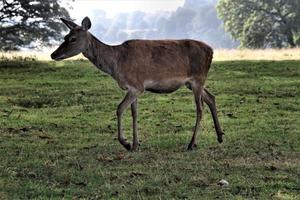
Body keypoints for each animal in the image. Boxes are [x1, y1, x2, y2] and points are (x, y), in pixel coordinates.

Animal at [51, 17, 224, 151]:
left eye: (73, 39)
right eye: (65, 36)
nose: (53, 54)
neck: (116, 64)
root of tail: (212, 51)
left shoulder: (137, 86)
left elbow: (119, 109)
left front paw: (126, 143)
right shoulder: (132, 88)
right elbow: (134, 113)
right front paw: (135, 144)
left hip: (198, 78)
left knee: (200, 108)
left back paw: (191, 143)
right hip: (192, 83)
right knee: (211, 97)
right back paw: (220, 136)